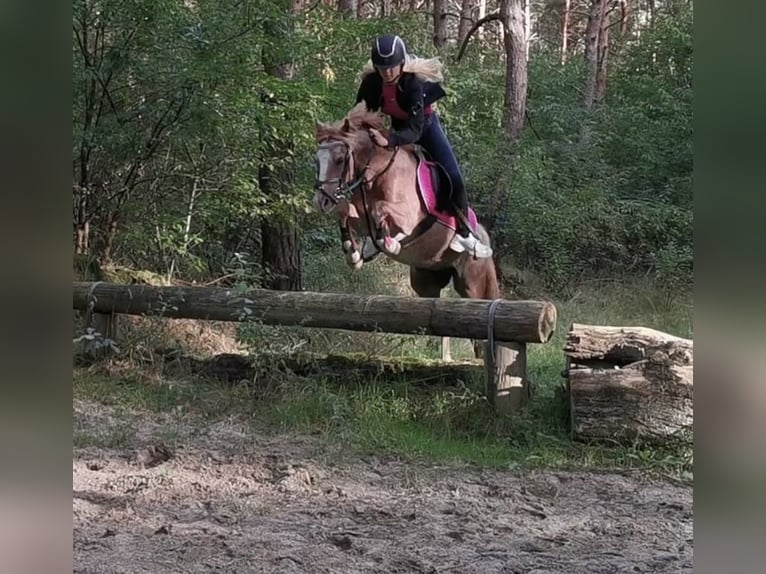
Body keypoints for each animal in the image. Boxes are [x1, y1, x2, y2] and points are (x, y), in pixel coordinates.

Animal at [313, 103, 500, 359]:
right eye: (317, 160)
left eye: (340, 159)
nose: (321, 201)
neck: (377, 172)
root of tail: (483, 235)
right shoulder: (358, 215)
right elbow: (345, 211)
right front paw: (354, 253)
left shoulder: (408, 217)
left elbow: (382, 212)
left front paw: (388, 243)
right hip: (425, 279)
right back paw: (445, 357)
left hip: (472, 281)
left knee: (479, 311)